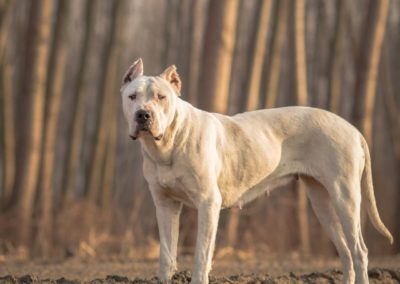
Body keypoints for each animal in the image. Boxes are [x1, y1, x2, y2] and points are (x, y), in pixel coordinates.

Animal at [120, 58, 392, 282]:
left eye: (161, 97)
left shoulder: (208, 203)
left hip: (345, 196)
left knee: (359, 251)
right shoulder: (165, 205)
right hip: (322, 202)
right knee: (345, 251)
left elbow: (201, 256)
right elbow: (166, 256)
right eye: (132, 97)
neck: (168, 144)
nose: (143, 115)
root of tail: (353, 129)